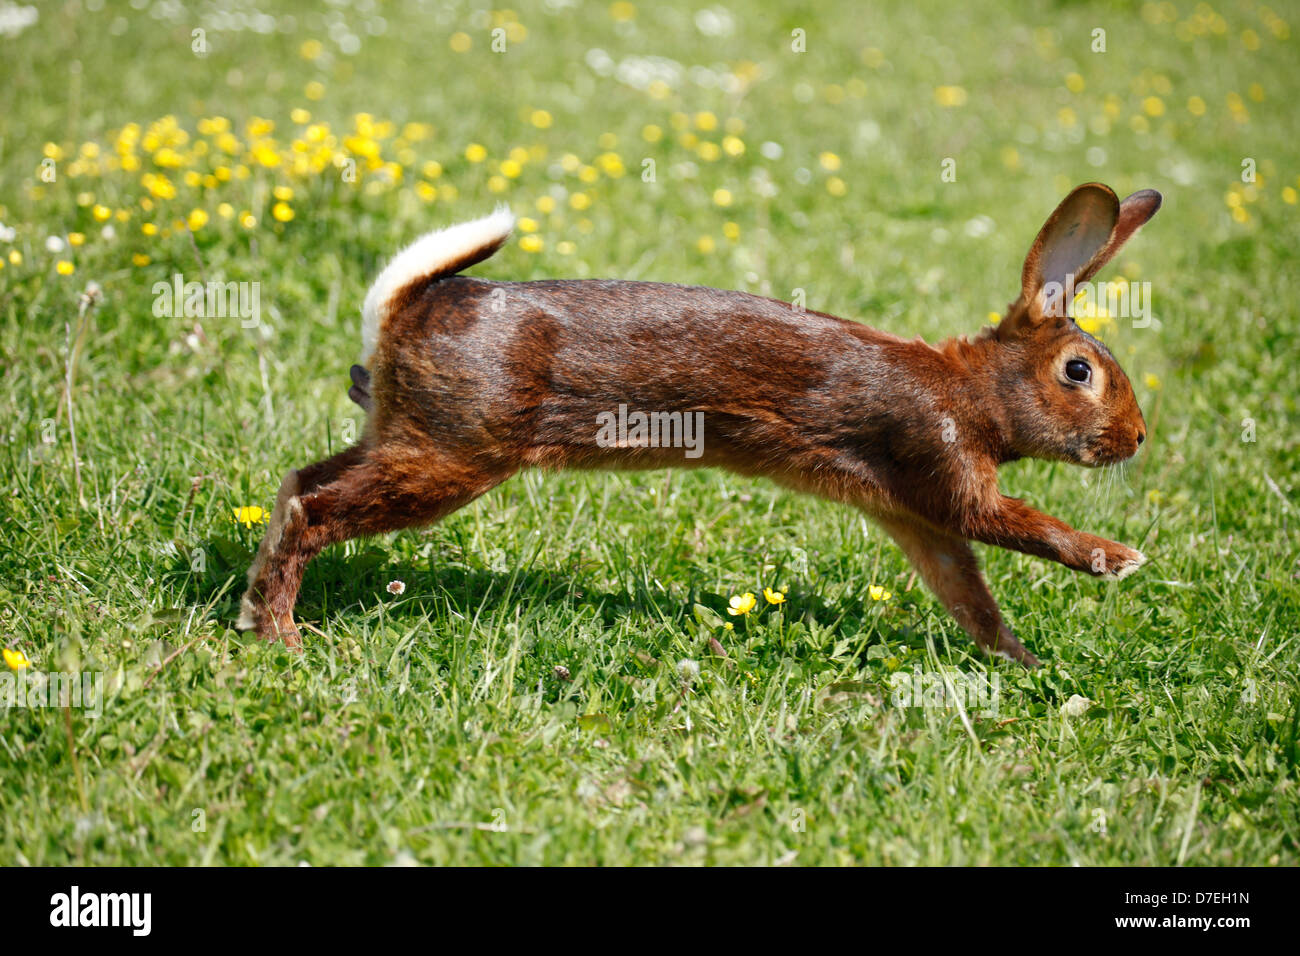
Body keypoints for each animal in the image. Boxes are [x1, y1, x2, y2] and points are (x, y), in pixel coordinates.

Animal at [239, 182, 1161, 668]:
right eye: (1078, 372)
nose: (1137, 440)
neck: (968, 391)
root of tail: (404, 308)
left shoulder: (919, 520)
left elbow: (969, 596)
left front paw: (1023, 661)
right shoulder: (944, 471)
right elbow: (1022, 527)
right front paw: (1117, 560)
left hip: (408, 437)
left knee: (300, 483)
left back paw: (255, 610)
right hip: (456, 454)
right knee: (315, 510)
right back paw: (284, 638)